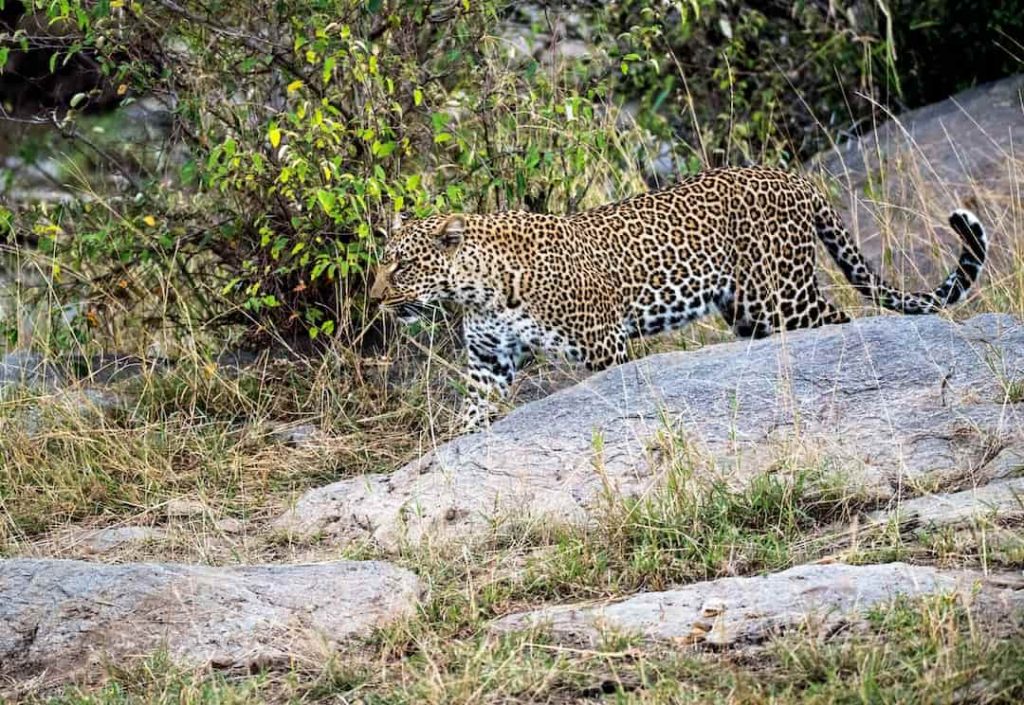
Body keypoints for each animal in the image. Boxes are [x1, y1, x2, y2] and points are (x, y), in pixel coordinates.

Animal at [370, 167, 983, 430]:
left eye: (402, 265)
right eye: (382, 263)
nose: (375, 300)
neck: (478, 289)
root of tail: (794, 177)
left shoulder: (603, 346)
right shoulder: (488, 361)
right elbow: (472, 412)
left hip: (781, 295)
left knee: (840, 318)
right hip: (749, 311)